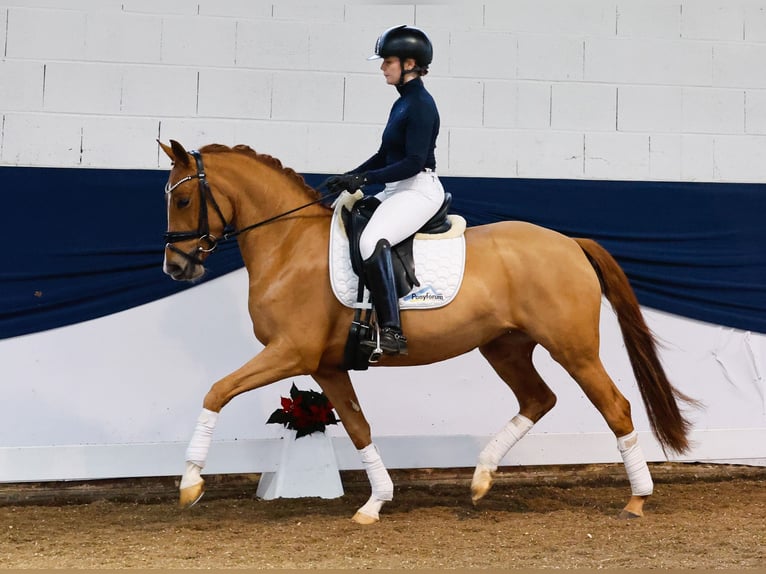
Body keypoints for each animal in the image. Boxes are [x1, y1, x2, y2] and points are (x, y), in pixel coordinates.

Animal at [159, 141, 700, 528]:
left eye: (183, 198)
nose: (175, 267)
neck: (289, 246)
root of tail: (569, 242)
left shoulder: (291, 352)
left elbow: (216, 391)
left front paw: (189, 485)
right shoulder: (327, 366)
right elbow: (358, 427)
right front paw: (375, 503)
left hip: (574, 349)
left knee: (615, 406)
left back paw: (637, 499)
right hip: (503, 346)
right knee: (538, 399)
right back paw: (481, 479)